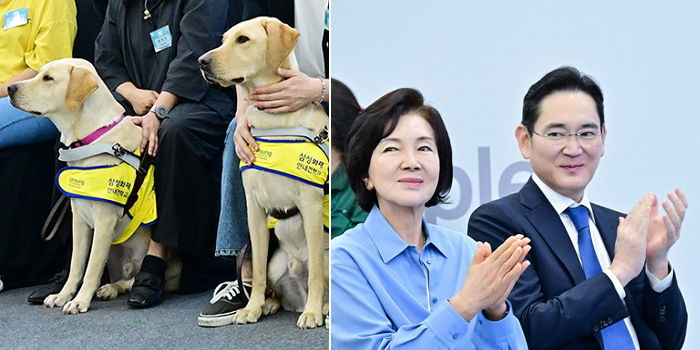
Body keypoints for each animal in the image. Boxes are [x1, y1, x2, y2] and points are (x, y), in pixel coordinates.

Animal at [8, 58, 178, 314]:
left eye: (48, 78)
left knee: (132, 280)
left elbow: (92, 267)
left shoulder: (104, 220)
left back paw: (115, 288)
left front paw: (79, 301)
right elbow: (77, 264)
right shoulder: (78, 217)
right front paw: (63, 295)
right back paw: (109, 288)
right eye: (39, 74)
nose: (10, 88)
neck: (91, 138)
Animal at [197, 16, 328, 328]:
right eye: (224, 40)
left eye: (243, 39)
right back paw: (269, 304)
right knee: (273, 286)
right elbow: (255, 269)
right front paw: (252, 307)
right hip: (277, 264)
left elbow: (317, 273)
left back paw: (322, 308)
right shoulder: (254, 208)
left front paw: (313, 313)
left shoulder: (311, 205)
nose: (201, 61)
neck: (273, 122)